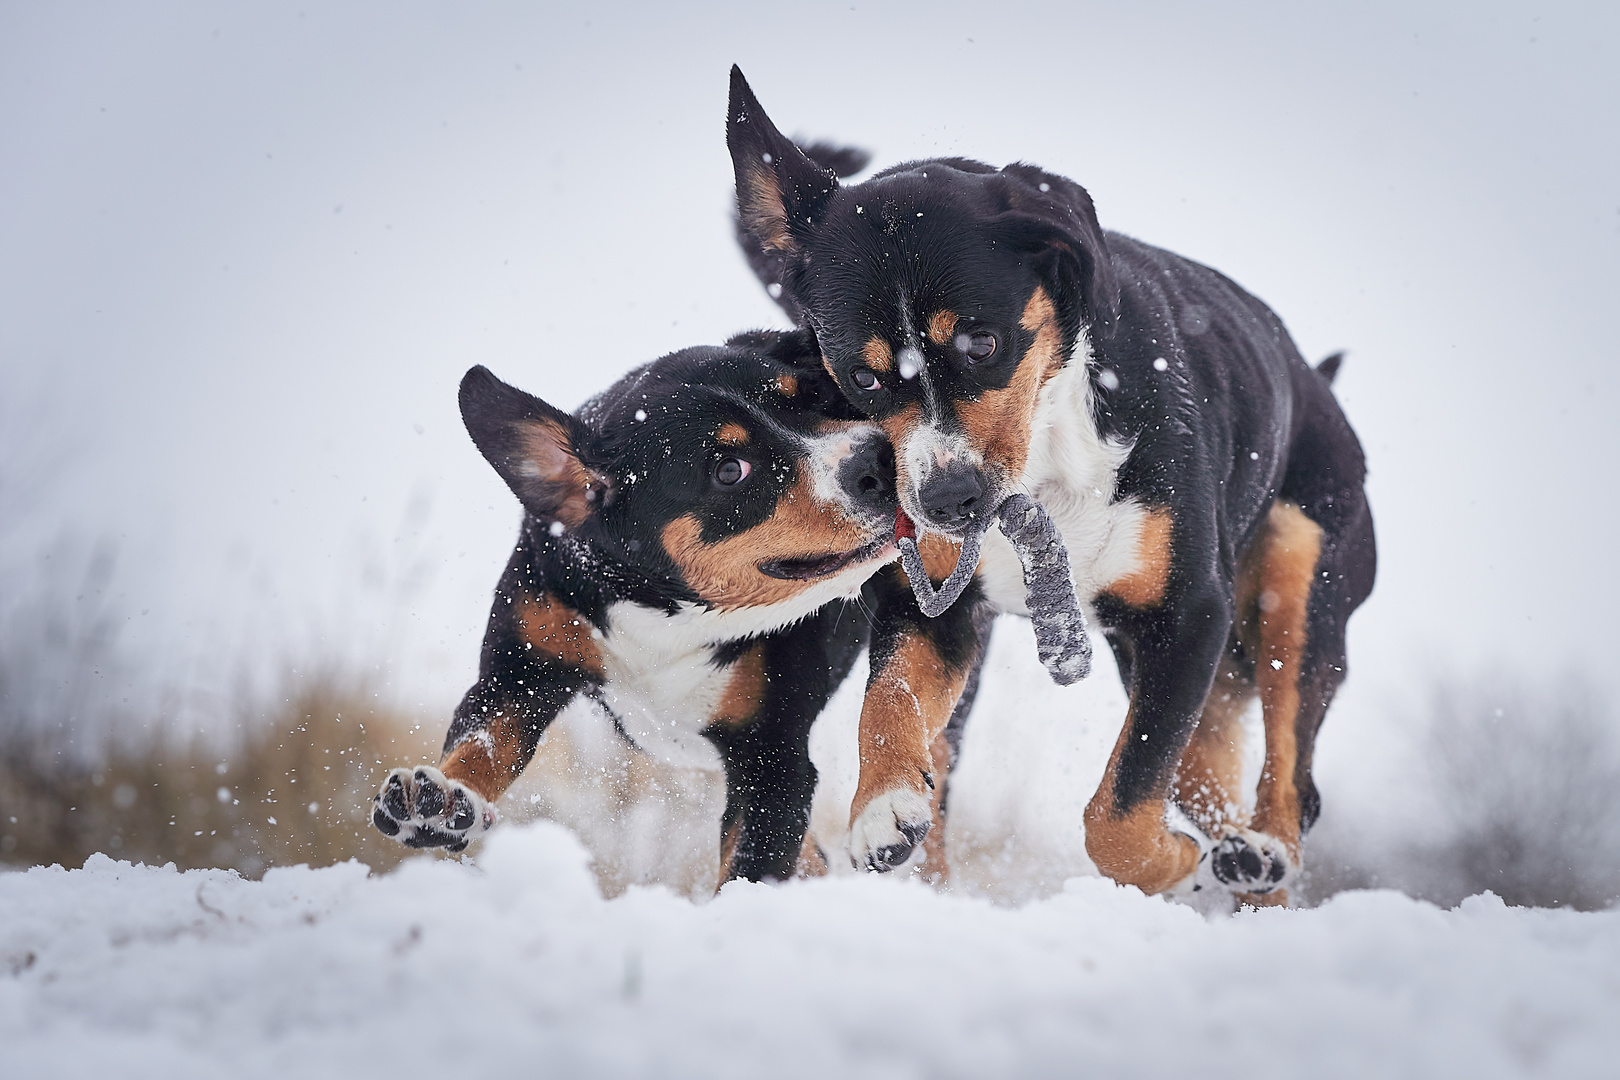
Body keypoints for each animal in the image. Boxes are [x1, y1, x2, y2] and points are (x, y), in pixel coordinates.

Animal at [370, 331, 900, 887]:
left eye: (815, 397)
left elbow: (750, 867)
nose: (876, 458)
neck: (666, 615)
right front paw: (440, 799)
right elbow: (485, 739)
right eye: (729, 470)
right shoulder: (523, 667)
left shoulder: (772, 754)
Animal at [729, 67, 1373, 906]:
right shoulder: (934, 605)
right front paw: (884, 808)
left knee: (1291, 761)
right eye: (864, 377)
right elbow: (890, 700)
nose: (947, 501)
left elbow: (1119, 810)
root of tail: (1311, 377)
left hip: (1299, 576)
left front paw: (1169, 859)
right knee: (1199, 764)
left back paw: (1260, 850)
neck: (1047, 460)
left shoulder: (1188, 612)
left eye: (982, 341)